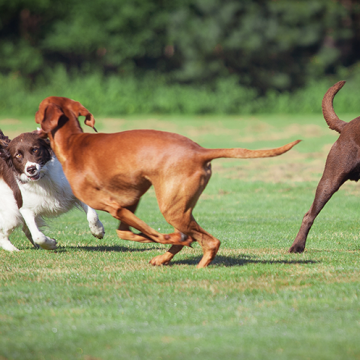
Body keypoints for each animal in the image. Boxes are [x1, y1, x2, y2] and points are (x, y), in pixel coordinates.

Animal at [35, 95, 300, 268]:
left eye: (38, 111)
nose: (34, 125)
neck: (73, 142)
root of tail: (200, 151)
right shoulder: (130, 202)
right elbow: (126, 233)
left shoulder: (113, 206)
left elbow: (150, 234)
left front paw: (165, 239)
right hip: (179, 206)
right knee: (195, 236)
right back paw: (167, 257)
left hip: (171, 208)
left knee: (209, 240)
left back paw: (196, 263)